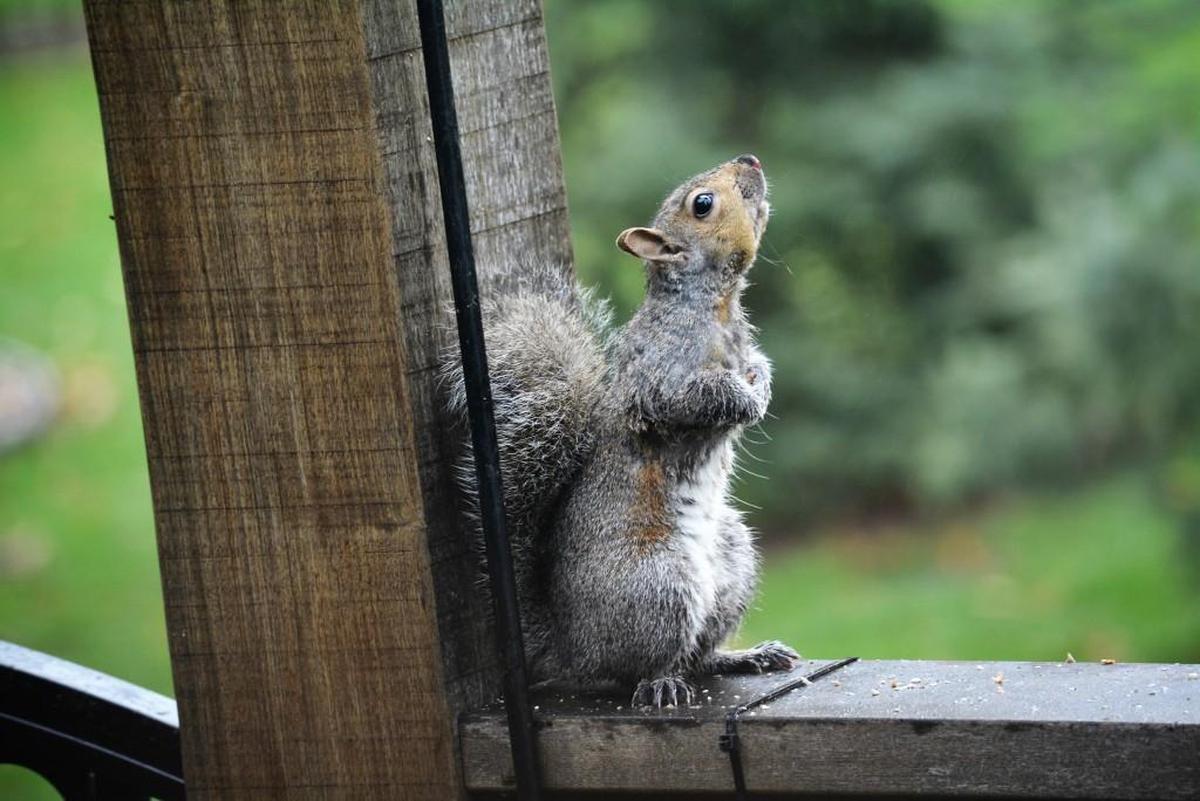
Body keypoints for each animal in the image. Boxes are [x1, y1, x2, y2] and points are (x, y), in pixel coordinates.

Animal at [444, 154, 798, 707]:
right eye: (702, 204)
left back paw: (744, 656)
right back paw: (661, 682)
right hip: (658, 585)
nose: (751, 161)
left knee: (699, 654)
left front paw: (759, 385)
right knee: (638, 669)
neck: (715, 307)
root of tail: (571, 650)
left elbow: (755, 366)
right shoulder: (661, 377)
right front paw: (743, 401)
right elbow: (693, 397)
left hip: (731, 561)